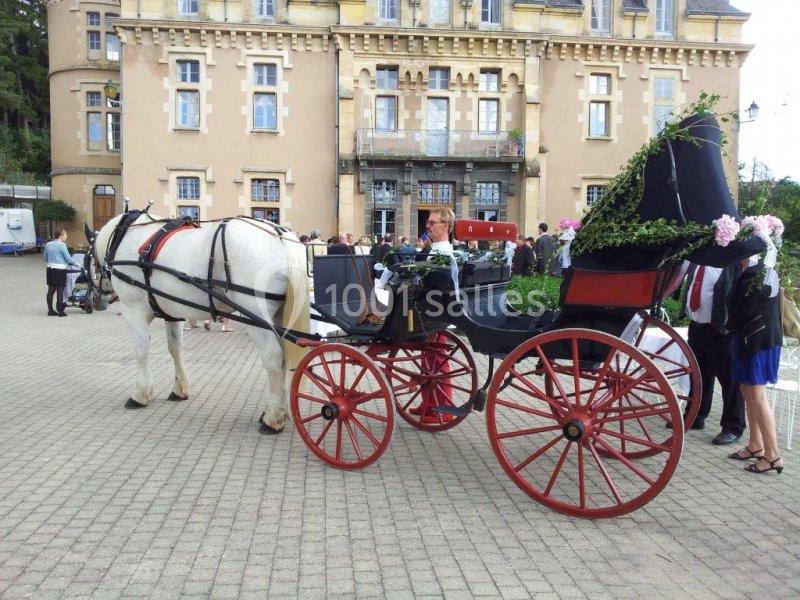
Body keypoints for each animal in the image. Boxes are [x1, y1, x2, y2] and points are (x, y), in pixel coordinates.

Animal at [88, 211, 310, 434]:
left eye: (88, 258)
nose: (101, 297)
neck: (128, 236)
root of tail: (277, 232)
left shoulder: (134, 312)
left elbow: (141, 352)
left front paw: (140, 395)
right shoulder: (172, 313)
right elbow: (175, 348)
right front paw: (179, 389)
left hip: (256, 317)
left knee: (273, 357)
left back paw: (272, 419)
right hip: (278, 316)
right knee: (283, 359)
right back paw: (275, 410)